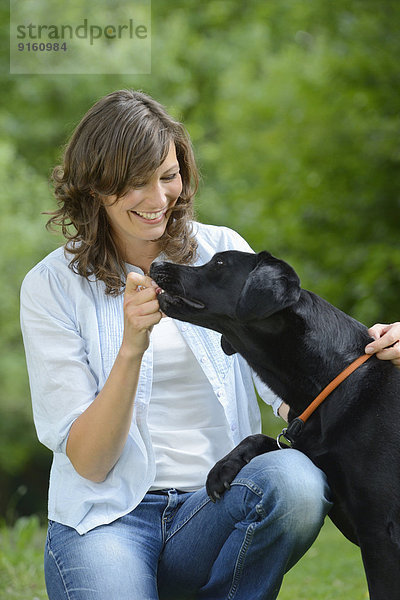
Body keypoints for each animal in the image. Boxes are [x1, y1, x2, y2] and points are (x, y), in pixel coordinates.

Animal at [150, 252, 400, 600]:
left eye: (219, 264)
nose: (155, 264)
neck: (330, 379)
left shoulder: (380, 530)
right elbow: (265, 440)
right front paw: (224, 468)